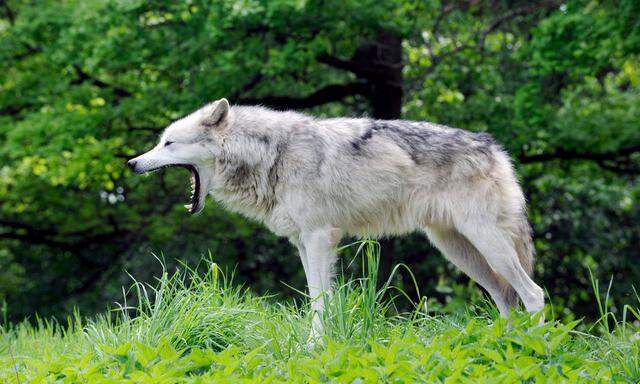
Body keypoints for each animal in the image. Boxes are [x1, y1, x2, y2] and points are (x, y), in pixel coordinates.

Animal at [129, 98, 544, 330]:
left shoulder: (319, 238)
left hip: (488, 246)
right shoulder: (303, 243)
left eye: (168, 143)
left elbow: (319, 301)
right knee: (507, 300)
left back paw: (535, 347)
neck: (271, 153)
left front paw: (313, 348)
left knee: (534, 294)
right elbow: (318, 299)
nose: (132, 163)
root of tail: (495, 149)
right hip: (461, 253)